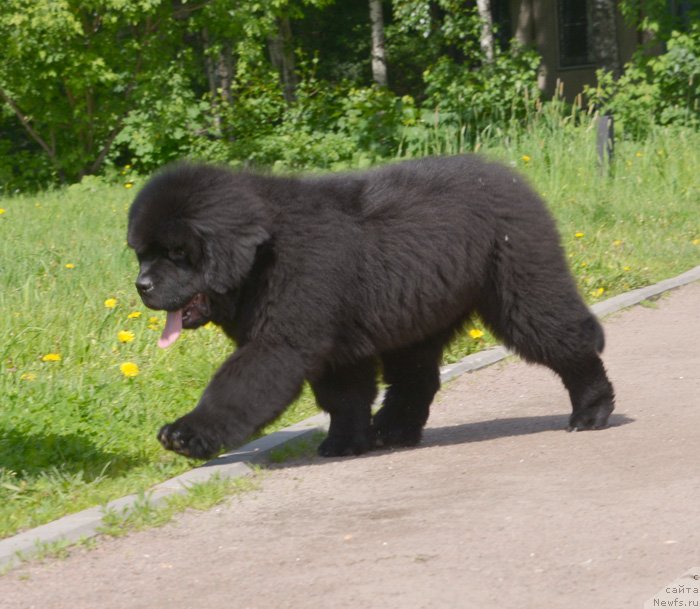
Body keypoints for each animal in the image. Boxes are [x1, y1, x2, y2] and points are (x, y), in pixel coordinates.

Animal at [129, 154, 616, 458]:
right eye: (142, 253)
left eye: (177, 253)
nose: (141, 285)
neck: (264, 256)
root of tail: (510, 177)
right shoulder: (337, 346)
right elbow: (345, 397)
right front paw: (344, 443)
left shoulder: (283, 339)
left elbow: (236, 385)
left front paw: (187, 434)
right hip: (418, 312)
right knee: (416, 380)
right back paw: (393, 431)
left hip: (520, 289)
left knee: (568, 340)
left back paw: (591, 411)